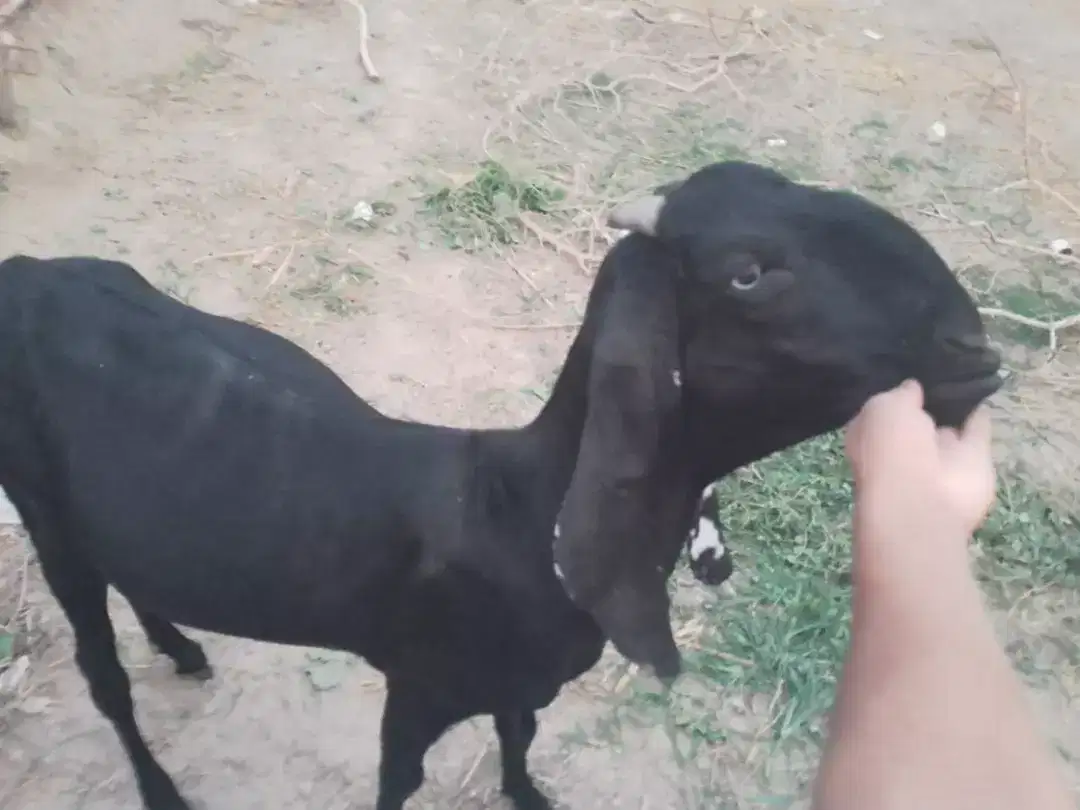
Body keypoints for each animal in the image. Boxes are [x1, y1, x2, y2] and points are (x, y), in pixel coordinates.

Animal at [0, 160, 1002, 810]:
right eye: (749, 273)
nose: (973, 349)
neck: (520, 509)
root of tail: (24, 275)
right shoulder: (419, 689)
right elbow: (398, 780)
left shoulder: (521, 684)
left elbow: (519, 734)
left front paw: (527, 796)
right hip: (44, 510)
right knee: (102, 677)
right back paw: (161, 786)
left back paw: (182, 648)